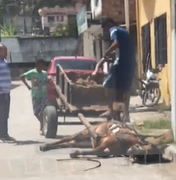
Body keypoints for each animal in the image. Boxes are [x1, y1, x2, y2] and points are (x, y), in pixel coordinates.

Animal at [39, 114, 172, 162]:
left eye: (146, 157)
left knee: (67, 143)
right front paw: (75, 153)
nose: (133, 154)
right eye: (144, 150)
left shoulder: (108, 148)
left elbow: (99, 152)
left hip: (83, 142)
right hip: (83, 133)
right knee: (65, 139)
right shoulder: (109, 141)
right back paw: (45, 146)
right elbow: (96, 150)